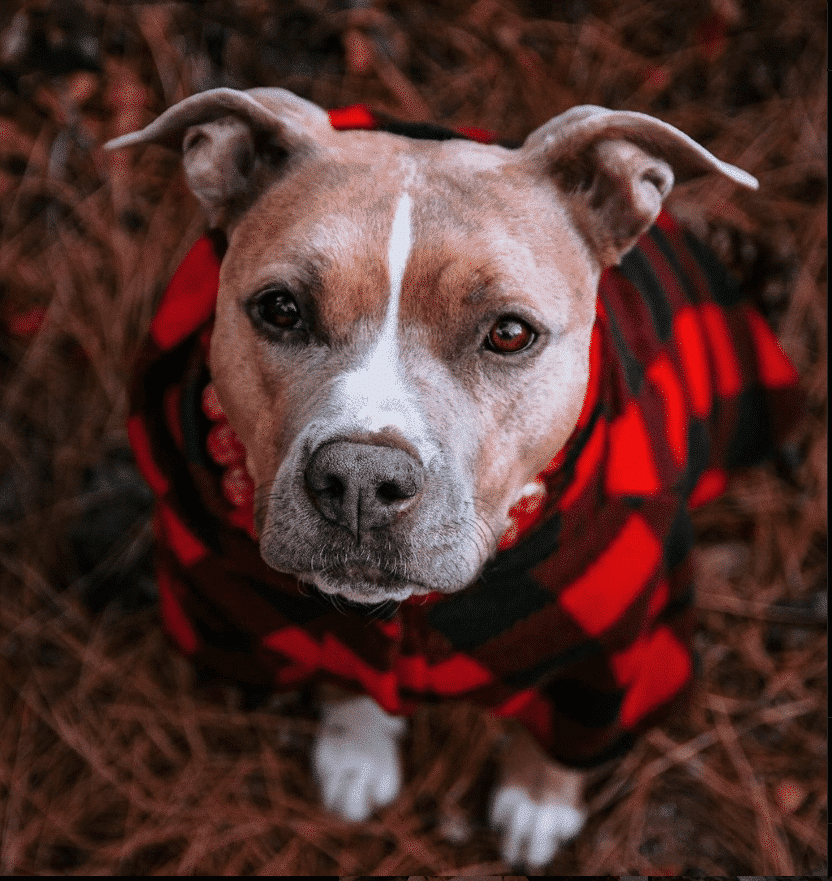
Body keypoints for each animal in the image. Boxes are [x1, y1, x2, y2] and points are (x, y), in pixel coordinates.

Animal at [104, 91, 800, 868]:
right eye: (281, 309)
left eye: (509, 333)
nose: (360, 478)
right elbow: (346, 679)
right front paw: (356, 750)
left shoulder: (610, 657)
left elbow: (565, 737)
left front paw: (538, 801)